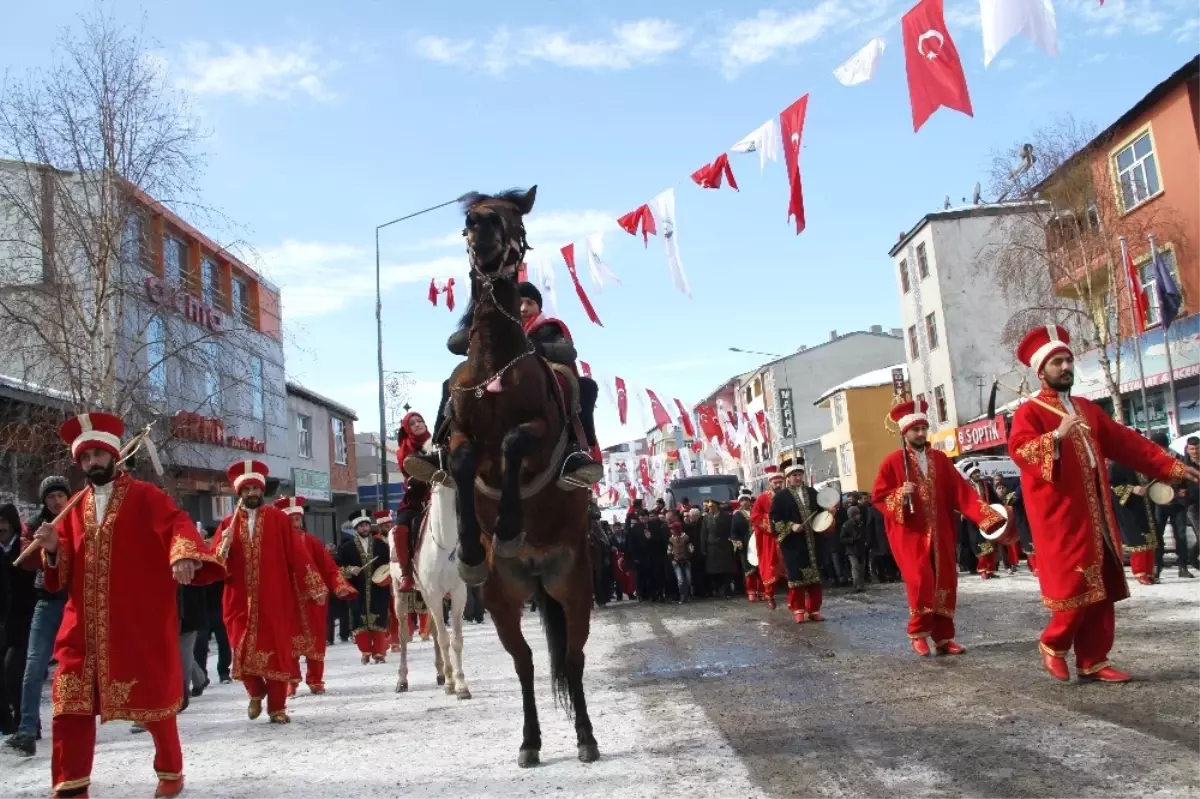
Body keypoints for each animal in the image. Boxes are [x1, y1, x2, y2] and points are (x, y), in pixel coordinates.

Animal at [391, 479, 470, 695]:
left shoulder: (458, 593)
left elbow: (455, 640)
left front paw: (460, 684)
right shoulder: (433, 593)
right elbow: (444, 639)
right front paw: (452, 684)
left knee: (434, 631)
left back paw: (441, 673)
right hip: (401, 596)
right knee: (403, 636)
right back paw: (402, 679)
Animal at [446, 187, 600, 767]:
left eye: (514, 219)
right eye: (468, 218)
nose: (481, 228)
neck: (496, 364)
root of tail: (535, 571)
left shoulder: (537, 428)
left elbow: (514, 442)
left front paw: (510, 525)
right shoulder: (460, 436)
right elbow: (464, 464)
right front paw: (473, 546)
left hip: (572, 586)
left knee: (572, 658)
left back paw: (586, 737)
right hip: (503, 600)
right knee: (526, 662)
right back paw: (530, 741)